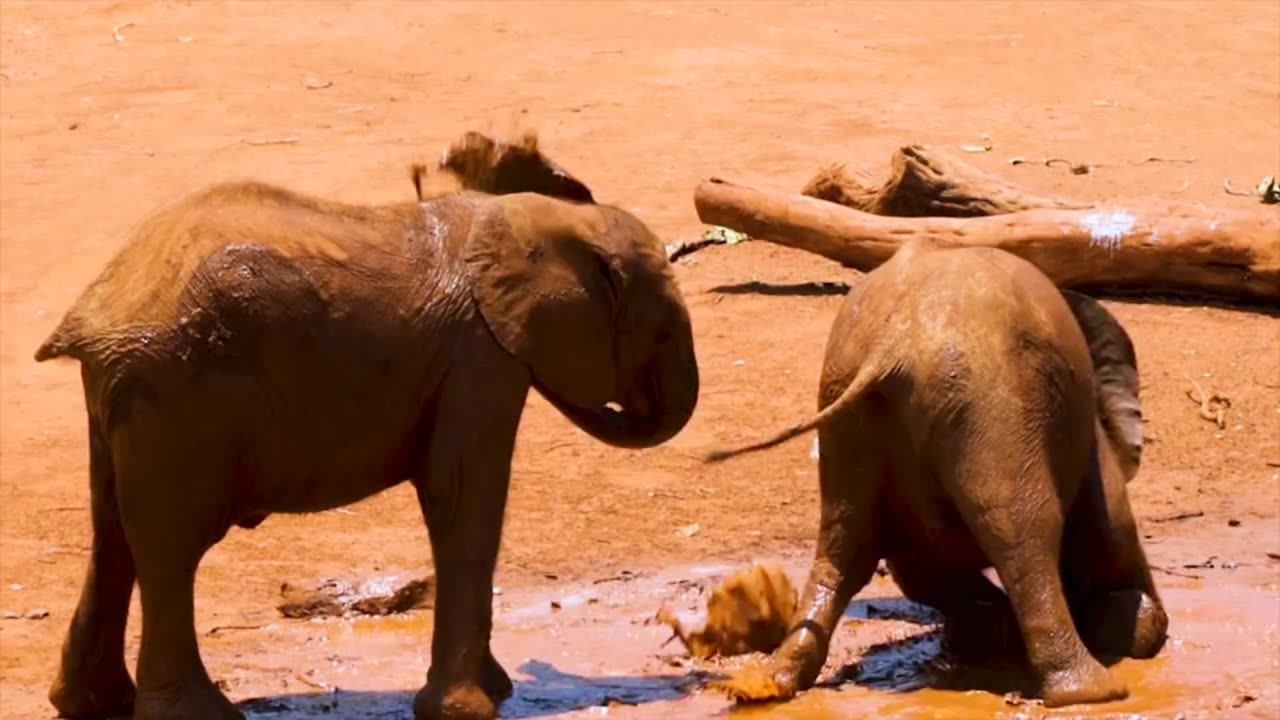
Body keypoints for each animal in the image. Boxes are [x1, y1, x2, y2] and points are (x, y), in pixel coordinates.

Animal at [37, 141, 701, 717]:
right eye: (663, 330)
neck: (531, 220)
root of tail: (96, 319)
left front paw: (497, 692)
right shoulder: (480, 355)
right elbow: (460, 496)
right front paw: (470, 709)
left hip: (130, 400)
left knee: (115, 534)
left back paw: (91, 704)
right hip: (177, 397)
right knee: (170, 548)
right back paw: (202, 715)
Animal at [711, 240, 1172, 707]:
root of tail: (889, 345)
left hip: (848, 406)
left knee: (846, 548)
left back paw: (765, 685)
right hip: (987, 401)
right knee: (1025, 529)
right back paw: (1096, 692)